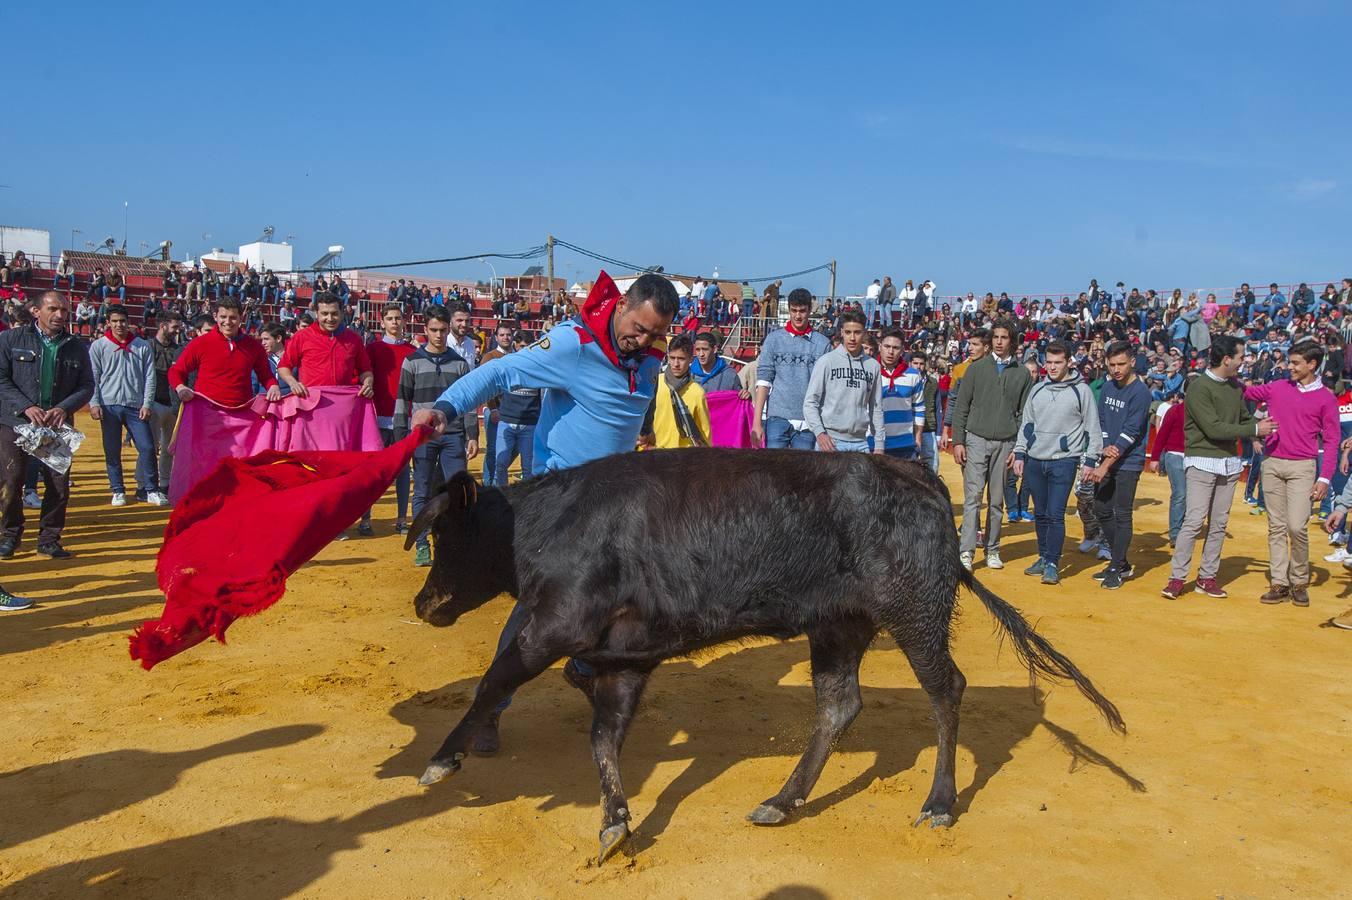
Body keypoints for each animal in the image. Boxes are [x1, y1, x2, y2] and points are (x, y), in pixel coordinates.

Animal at [405, 445, 1124, 859]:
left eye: (444, 534)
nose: (423, 603)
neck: (546, 522)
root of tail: (921, 475)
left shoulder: (554, 627)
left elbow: (495, 681)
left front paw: (440, 761)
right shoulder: (625, 658)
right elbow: (603, 740)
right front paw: (614, 824)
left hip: (913, 612)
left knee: (945, 690)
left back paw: (939, 804)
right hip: (839, 625)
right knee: (838, 705)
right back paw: (782, 801)